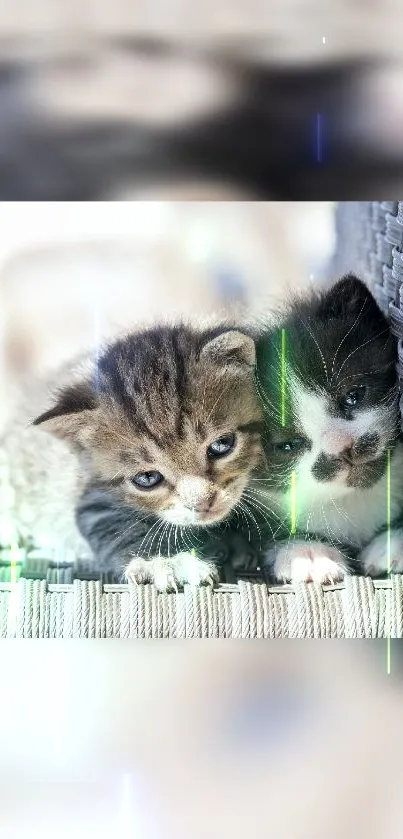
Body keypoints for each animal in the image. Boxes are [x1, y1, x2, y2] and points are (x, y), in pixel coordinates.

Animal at [32, 322, 266, 592]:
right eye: (147, 478)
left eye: (221, 445)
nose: (202, 504)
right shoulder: (92, 499)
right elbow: (120, 528)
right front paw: (163, 561)